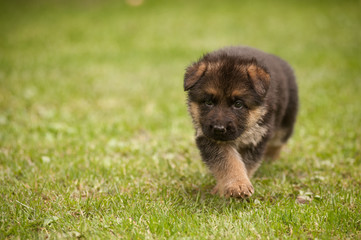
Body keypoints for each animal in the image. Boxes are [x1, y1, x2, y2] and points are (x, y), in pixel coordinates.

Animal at [184, 46, 296, 198]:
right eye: (208, 102)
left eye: (238, 104)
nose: (219, 128)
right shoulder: (210, 138)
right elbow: (228, 162)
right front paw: (235, 185)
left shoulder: (257, 137)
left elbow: (246, 164)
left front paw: (239, 185)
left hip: (285, 125)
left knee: (277, 144)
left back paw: (270, 160)